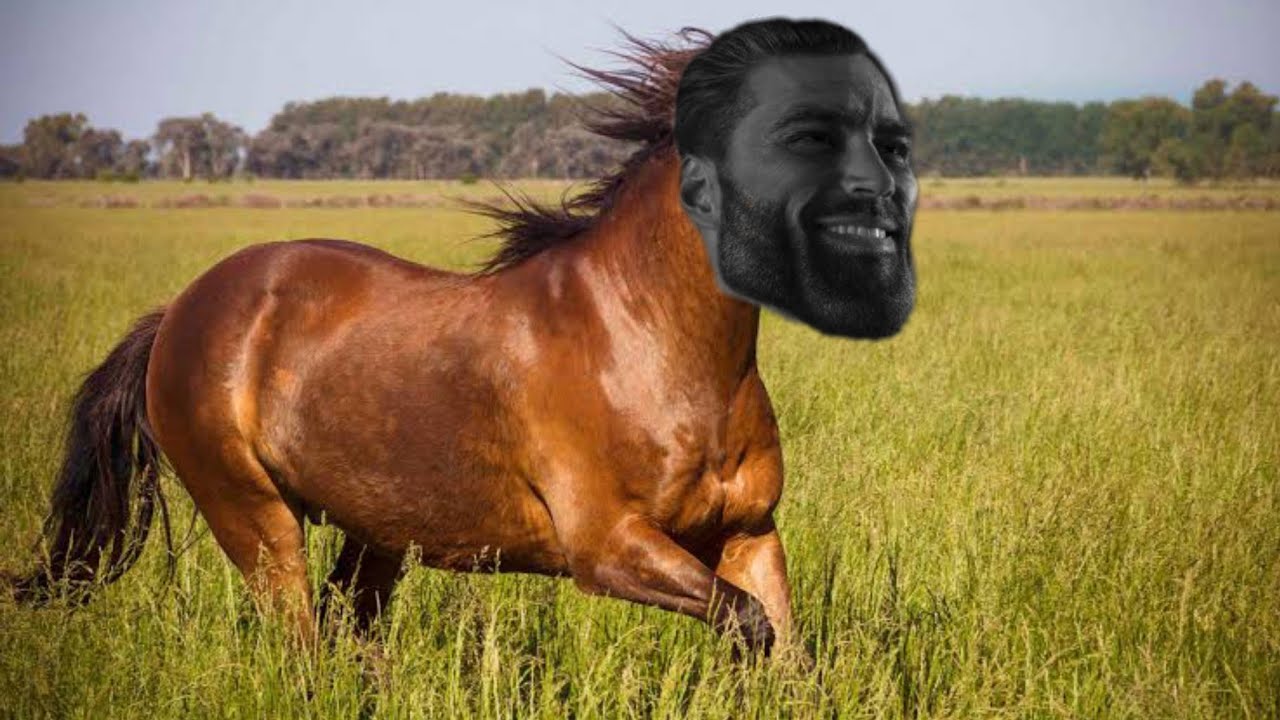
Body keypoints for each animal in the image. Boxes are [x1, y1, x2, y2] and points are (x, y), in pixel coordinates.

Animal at [9, 31, 790, 653]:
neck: (653, 343)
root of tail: (176, 314)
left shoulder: (750, 533)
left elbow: (782, 645)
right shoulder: (608, 548)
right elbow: (749, 624)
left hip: (376, 532)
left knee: (347, 634)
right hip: (255, 519)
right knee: (302, 648)